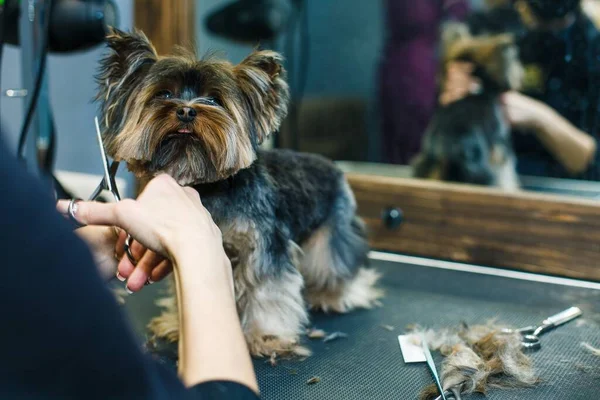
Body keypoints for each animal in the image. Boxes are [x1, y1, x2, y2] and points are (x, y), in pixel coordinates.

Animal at [96, 28, 382, 356]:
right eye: (164, 94)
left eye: (213, 99)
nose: (186, 111)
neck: (206, 187)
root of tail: (335, 168)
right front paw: (179, 326)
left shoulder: (263, 246)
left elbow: (266, 290)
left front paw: (267, 335)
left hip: (333, 232)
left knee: (339, 265)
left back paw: (344, 294)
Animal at [412, 25, 524, 191]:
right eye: (516, 63)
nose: (521, 75)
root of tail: (451, 148)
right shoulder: (501, 150)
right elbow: (507, 176)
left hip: (425, 164)